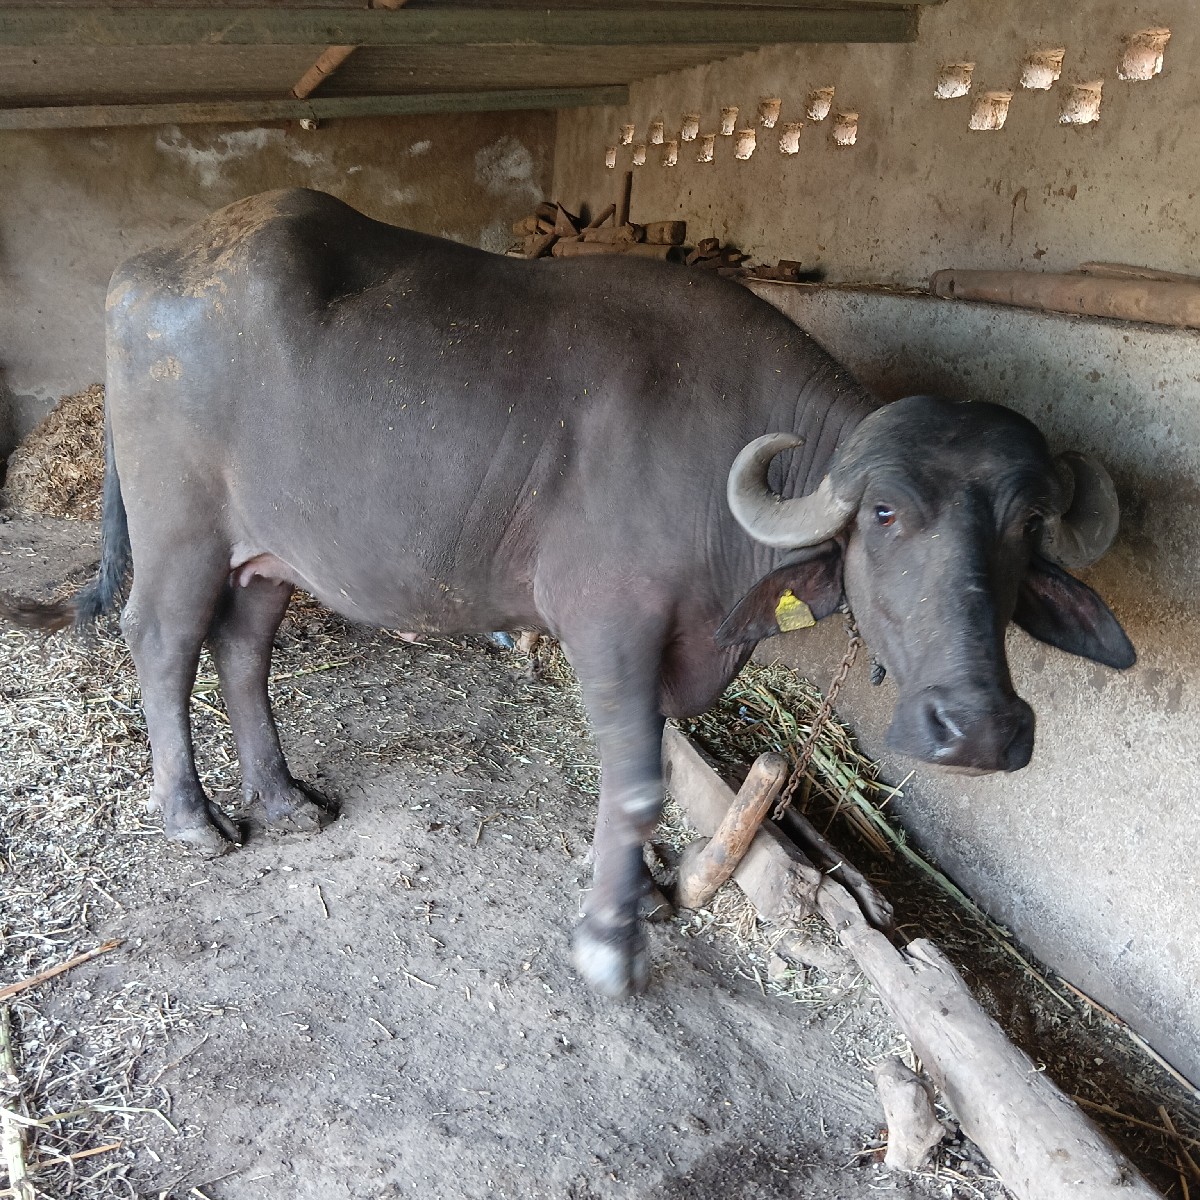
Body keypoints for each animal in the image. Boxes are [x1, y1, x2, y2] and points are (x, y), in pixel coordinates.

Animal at [1, 189, 1134, 997]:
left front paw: (655, 889)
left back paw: (282, 800)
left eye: (1028, 526)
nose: (978, 727)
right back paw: (193, 817)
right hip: (182, 535)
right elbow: (631, 781)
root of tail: (151, 267)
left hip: (273, 553)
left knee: (242, 647)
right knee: (161, 641)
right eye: (887, 513)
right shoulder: (611, 626)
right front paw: (610, 939)